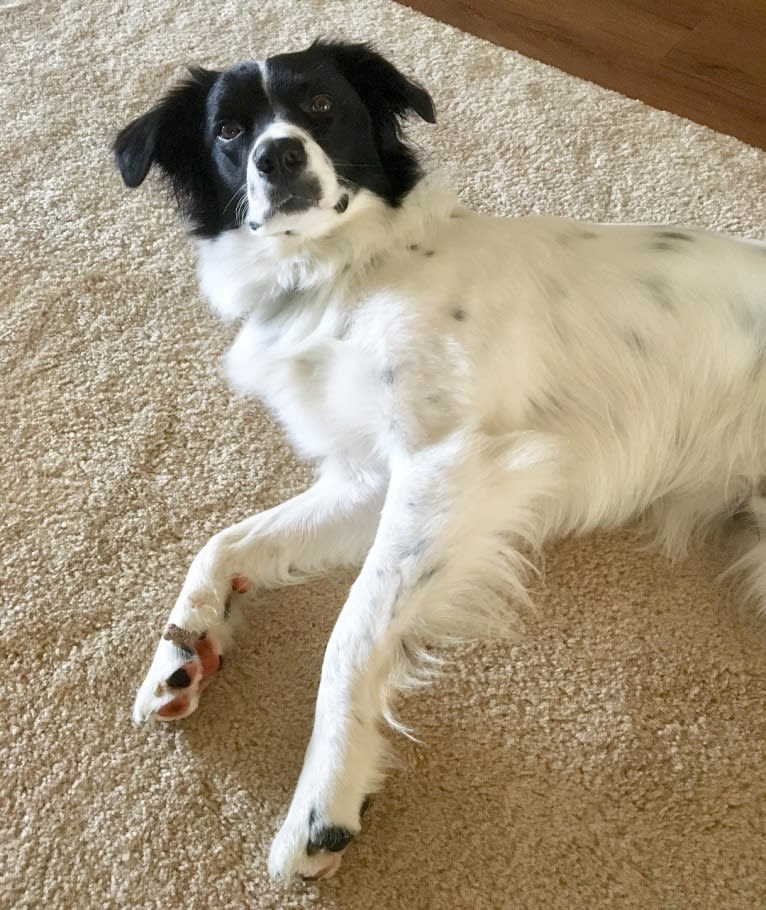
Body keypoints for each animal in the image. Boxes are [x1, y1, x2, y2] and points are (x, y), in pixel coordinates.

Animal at [114, 39, 766, 880]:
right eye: (228, 129)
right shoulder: (368, 477)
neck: (343, 275)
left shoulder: (446, 463)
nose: (278, 155)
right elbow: (224, 541)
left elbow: (351, 634)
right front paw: (182, 652)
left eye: (320, 105)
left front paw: (324, 799)